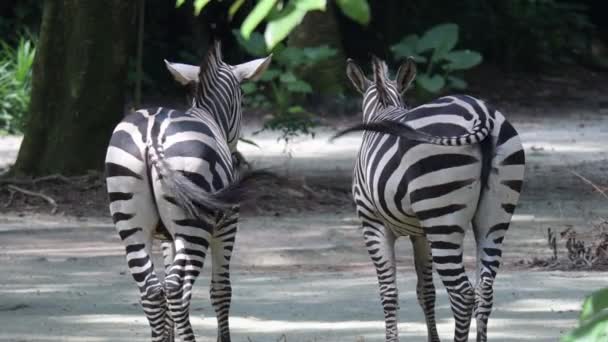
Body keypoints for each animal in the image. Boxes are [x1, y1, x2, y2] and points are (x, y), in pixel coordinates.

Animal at [105, 42, 272, 342]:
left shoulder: (166, 237)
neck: (209, 115)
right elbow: (221, 290)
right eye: (242, 96)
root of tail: (152, 134)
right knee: (176, 289)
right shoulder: (227, 225)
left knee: (151, 289)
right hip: (195, 226)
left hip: (131, 221)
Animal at [334, 56, 524, 342]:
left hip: (443, 219)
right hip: (494, 218)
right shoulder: (421, 234)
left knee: (462, 294)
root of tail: (480, 113)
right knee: (484, 290)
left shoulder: (373, 224)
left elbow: (388, 294)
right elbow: (426, 292)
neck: (384, 108)